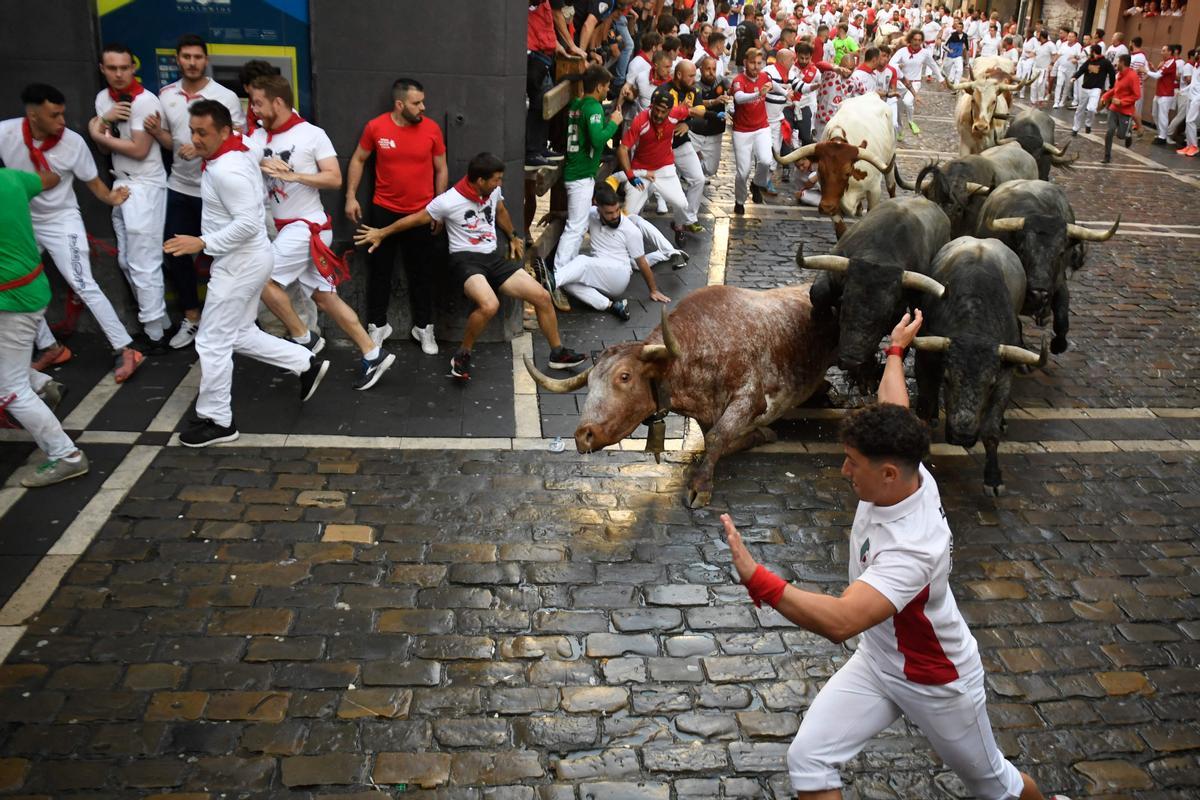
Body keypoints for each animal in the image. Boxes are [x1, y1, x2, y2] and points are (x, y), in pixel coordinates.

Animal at [520, 287, 840, 506]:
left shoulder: (750, 397)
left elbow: (717, 438)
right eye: (590, 382)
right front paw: (760, 435)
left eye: (625, 376)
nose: (583, 435)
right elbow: (718, 439)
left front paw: (701, 485)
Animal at [772, 91, 897, 235]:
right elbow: (840, 229)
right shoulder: (831, 197)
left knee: (891, 186)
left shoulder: (874, 190)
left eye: (847, 172)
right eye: (819, 170)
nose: (826, 207)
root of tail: (872, 94)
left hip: (889, 162)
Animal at [912, 235, 1046, 494]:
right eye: (947, 378)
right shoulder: (925, 361)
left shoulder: (1004, 374)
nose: (962, 436)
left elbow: (991, 430)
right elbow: (924, 404)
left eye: (990, 384)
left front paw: (993, 477)